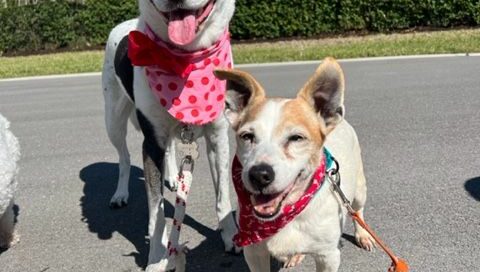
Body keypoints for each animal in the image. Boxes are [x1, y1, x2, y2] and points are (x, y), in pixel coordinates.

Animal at [216, 58, 376, 272]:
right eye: (247, 136)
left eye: (296, 138)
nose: (259, 175)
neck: (286, 215)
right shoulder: (254, 253)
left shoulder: (328, 256)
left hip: (359, 190)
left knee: (358, 210)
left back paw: (363, 234)